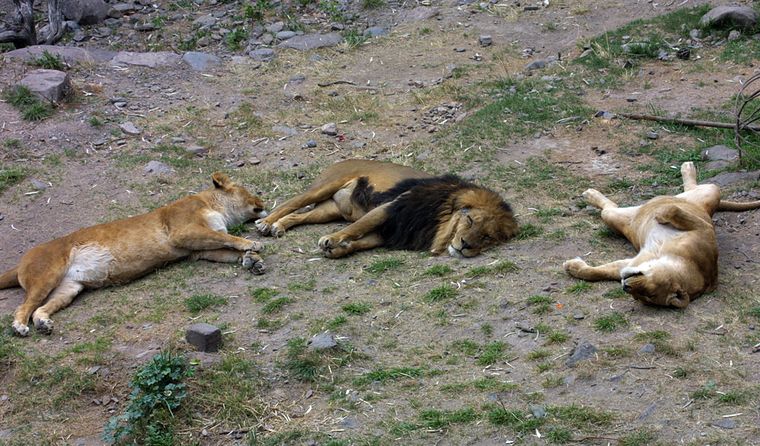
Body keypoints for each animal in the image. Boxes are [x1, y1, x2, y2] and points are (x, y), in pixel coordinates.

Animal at [0, 172, 268, 336]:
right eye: (248, 191)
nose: (263, 201)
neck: (216, 207)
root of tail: (21, 261)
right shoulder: (182, 232)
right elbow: (227, 239)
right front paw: (253, 244)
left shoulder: (196, 250)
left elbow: (224, 249)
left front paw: (251, 261)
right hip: (48, 274)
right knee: (23, 307)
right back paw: (20, 327)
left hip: (69, 288)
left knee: (39, 309)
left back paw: (43, 324)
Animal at [255, 159, 518, 258]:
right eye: (470, 220)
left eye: (486, 237)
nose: (465, 245)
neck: (439, 223)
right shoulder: (391, 208)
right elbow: (359, 226)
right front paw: (332, 240)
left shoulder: (387, 233)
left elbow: (361, 241)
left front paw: (339, 249)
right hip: (324, 186)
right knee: (291, 203)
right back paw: (265, 223)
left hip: (329, 210)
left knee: (300, 215)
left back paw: (279, 227)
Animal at [564, 161, 760, 308]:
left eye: (646, 296)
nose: (625, 286)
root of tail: (709, 209)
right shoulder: (704, 230)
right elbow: (672, 209)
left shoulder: (631, 263)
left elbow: (601, 271)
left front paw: (571, 266)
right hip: (711, 190)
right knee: (689, 189)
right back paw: (687, 168)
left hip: (617, 217)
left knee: (609, 207)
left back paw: (591, 194)